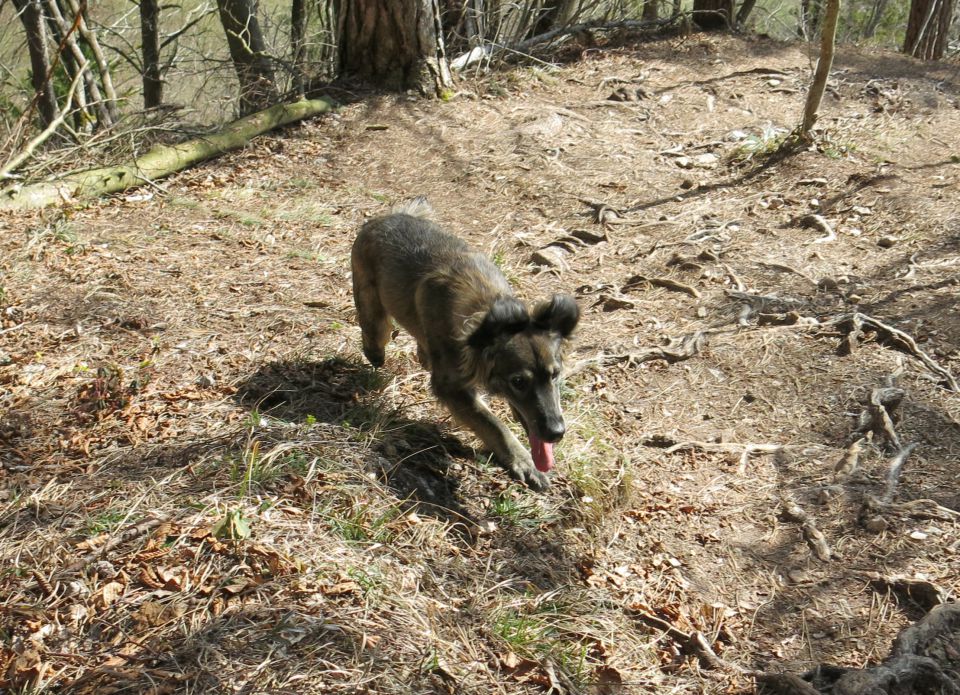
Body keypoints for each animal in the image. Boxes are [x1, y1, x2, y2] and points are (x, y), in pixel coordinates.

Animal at [350, 197, 580, 490]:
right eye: (518, 381)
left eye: (555, 375)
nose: (556, 432)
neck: (486, 312)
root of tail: (387, 217)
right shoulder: (451, 388)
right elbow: (493, 424)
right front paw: (524, 461)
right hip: (373, 309)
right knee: (375, 332)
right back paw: (375, 352)